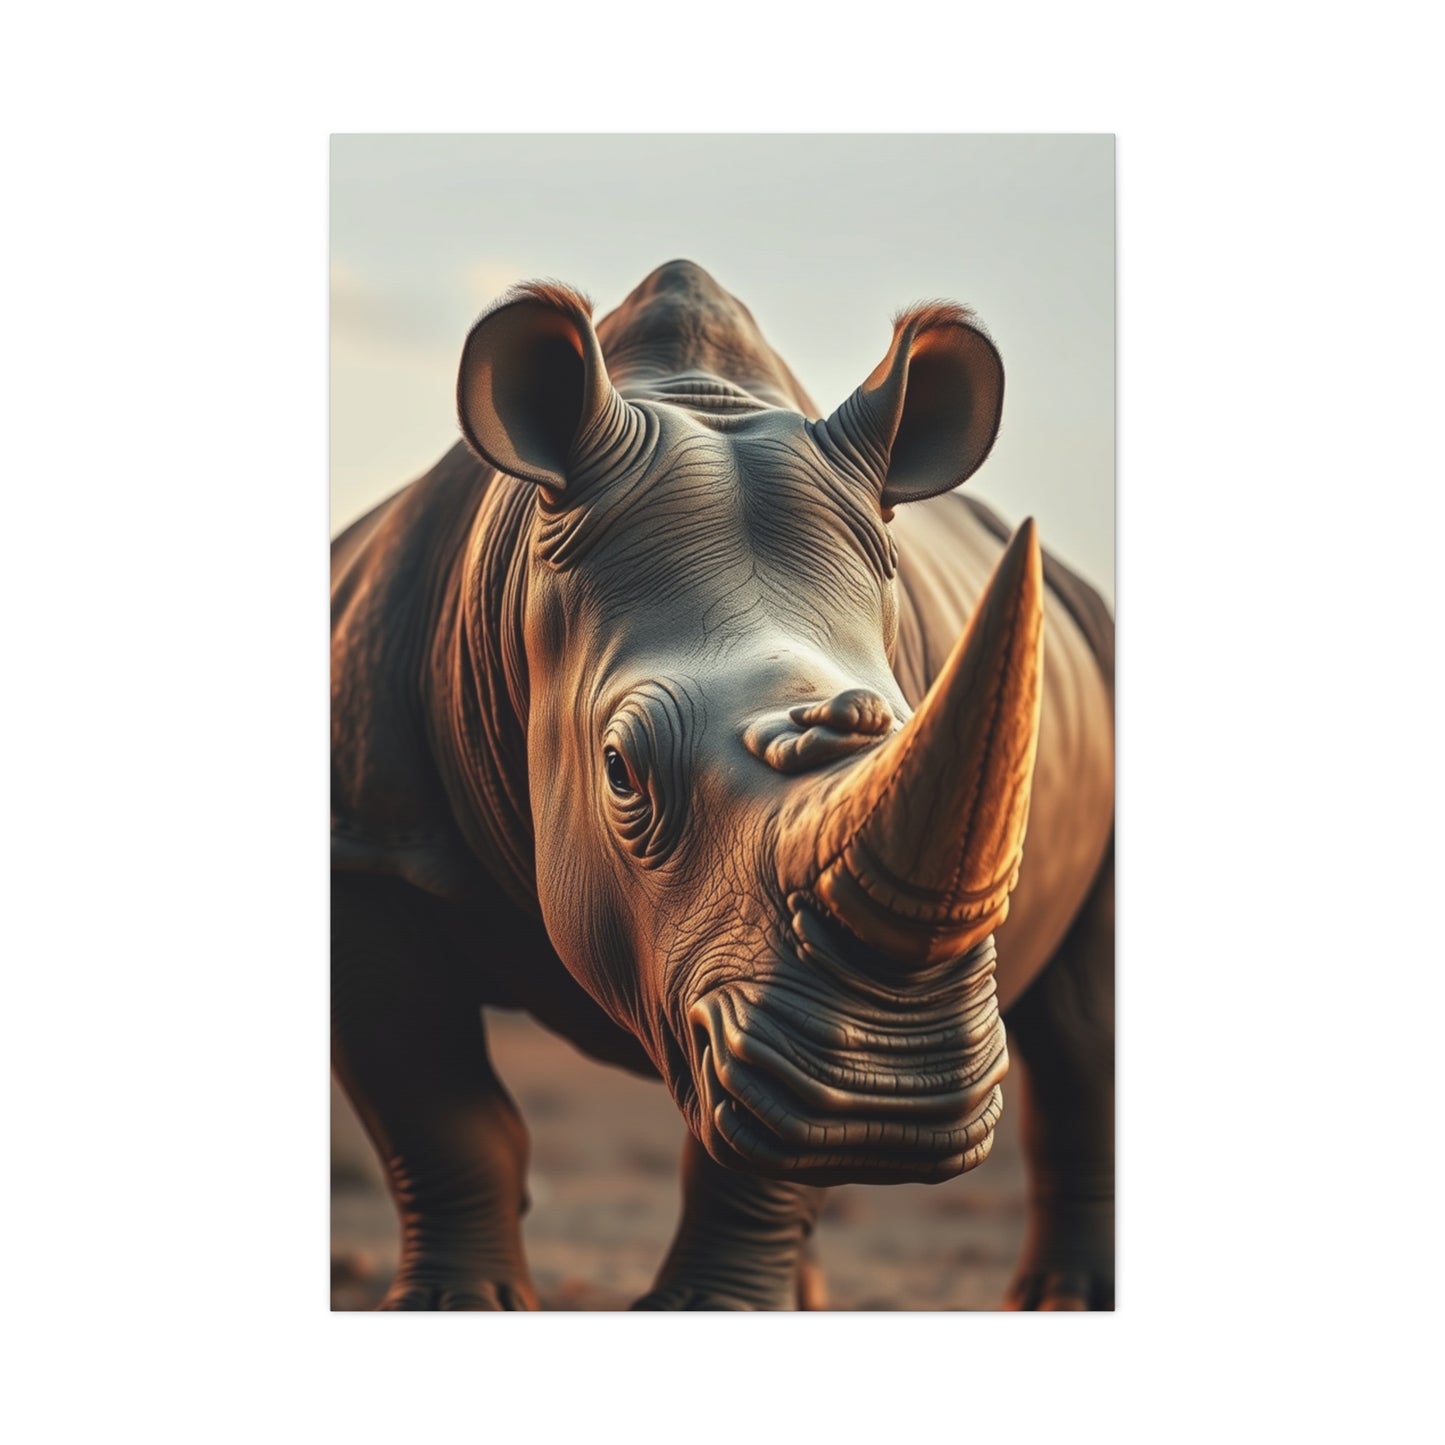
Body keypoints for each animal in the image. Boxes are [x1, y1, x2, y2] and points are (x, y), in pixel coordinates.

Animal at [331, 259, 1115, 1310]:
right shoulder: (369, 844)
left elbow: (761, 1157)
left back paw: (1061, 1300)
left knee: (1082, 1033)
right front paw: (452, 1307)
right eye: (619, 770)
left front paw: (707, 1310)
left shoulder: (771, 1015)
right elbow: (438, 1112)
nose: (890, 1094)